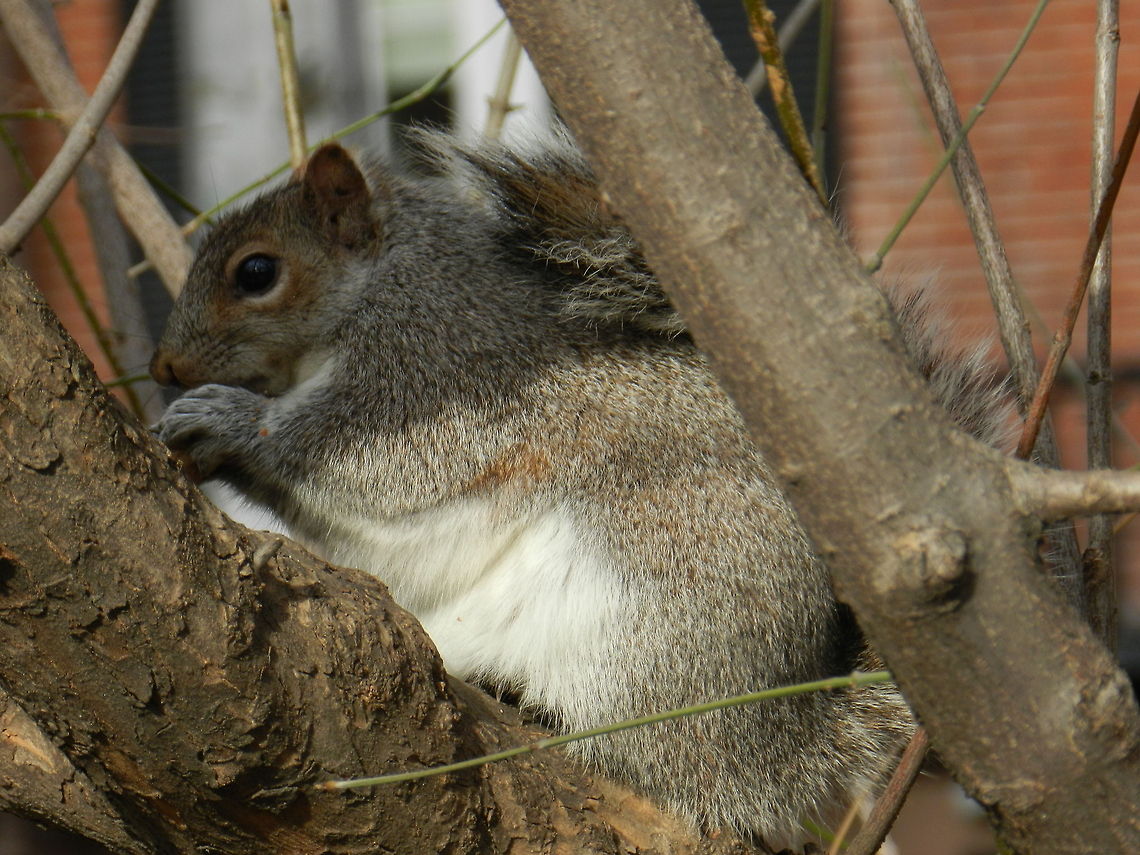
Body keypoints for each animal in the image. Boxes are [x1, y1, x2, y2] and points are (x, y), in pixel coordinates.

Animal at [151, 130, 1011, 847]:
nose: (164, 366)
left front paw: (230, 419)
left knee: (653, 760)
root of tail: (780, 748)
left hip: (641, 631)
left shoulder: (439, 367)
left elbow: (374, 459)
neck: (387, 274)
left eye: (256, 272)